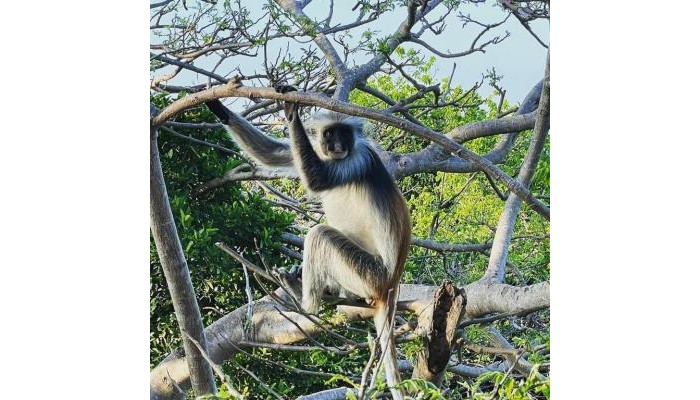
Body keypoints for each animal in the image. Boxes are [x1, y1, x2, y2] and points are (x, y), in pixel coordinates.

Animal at [205, 88, 410, 399]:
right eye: (329, 134)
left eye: (343, 134)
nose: (337, 146)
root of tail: (389, 285)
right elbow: (276, 154)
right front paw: (217, 105)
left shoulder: (358, 159)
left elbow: (317, 178)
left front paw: (292, 112)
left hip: (369, 273)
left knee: (320, 235)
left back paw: (303, 302)